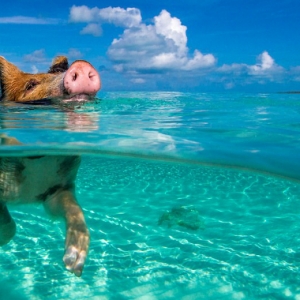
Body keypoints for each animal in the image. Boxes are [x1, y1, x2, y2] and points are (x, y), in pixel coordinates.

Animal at [0, 56, 102, 276]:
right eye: (30, 86)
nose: (81, 64)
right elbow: (10, 226)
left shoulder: (57, 189)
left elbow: (74, 210)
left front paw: (74, 264)